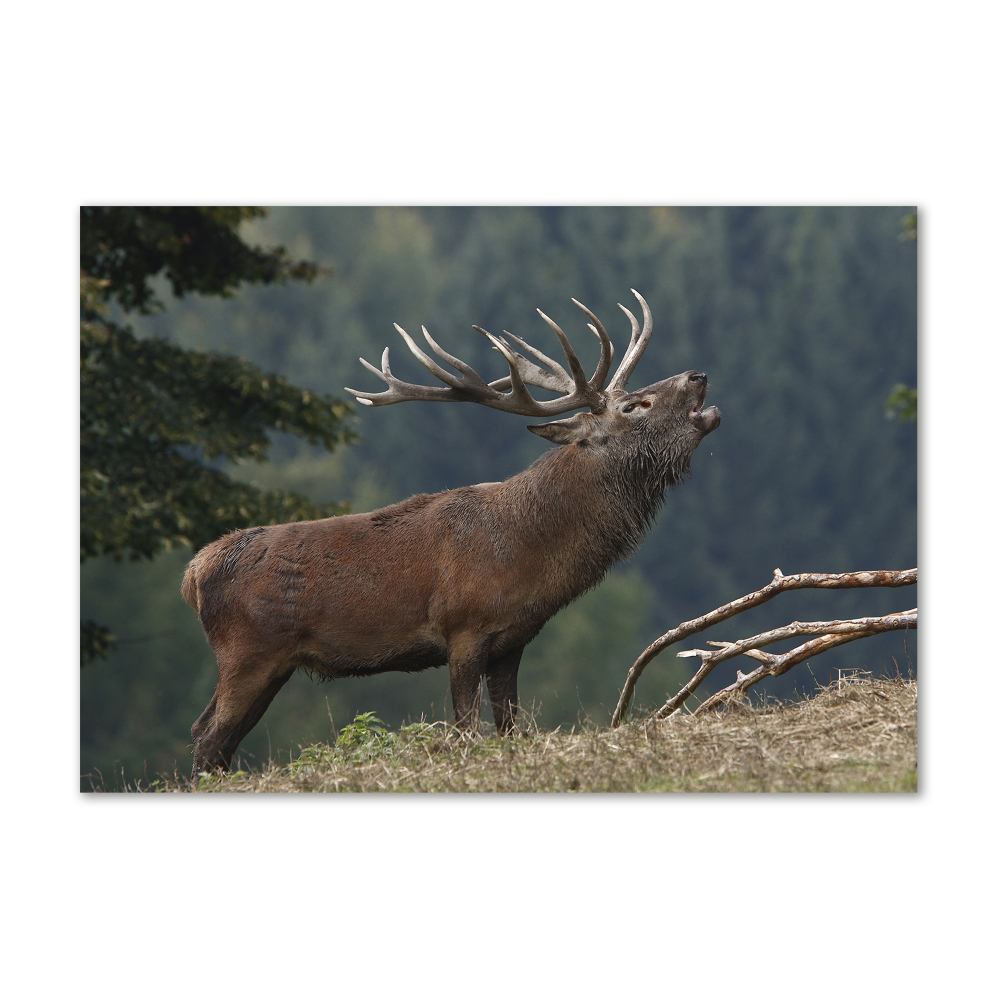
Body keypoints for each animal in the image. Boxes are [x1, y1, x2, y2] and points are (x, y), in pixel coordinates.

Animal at [182, 290, 720, 772]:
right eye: (634, 406)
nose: (698, 375)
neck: (532, 556)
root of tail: (194, 572)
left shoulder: (513, 640)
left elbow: (508, 728)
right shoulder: (463, 627)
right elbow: (465, 729)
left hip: (274, 662)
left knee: (219, 739)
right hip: (247, 650)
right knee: (207, 736)